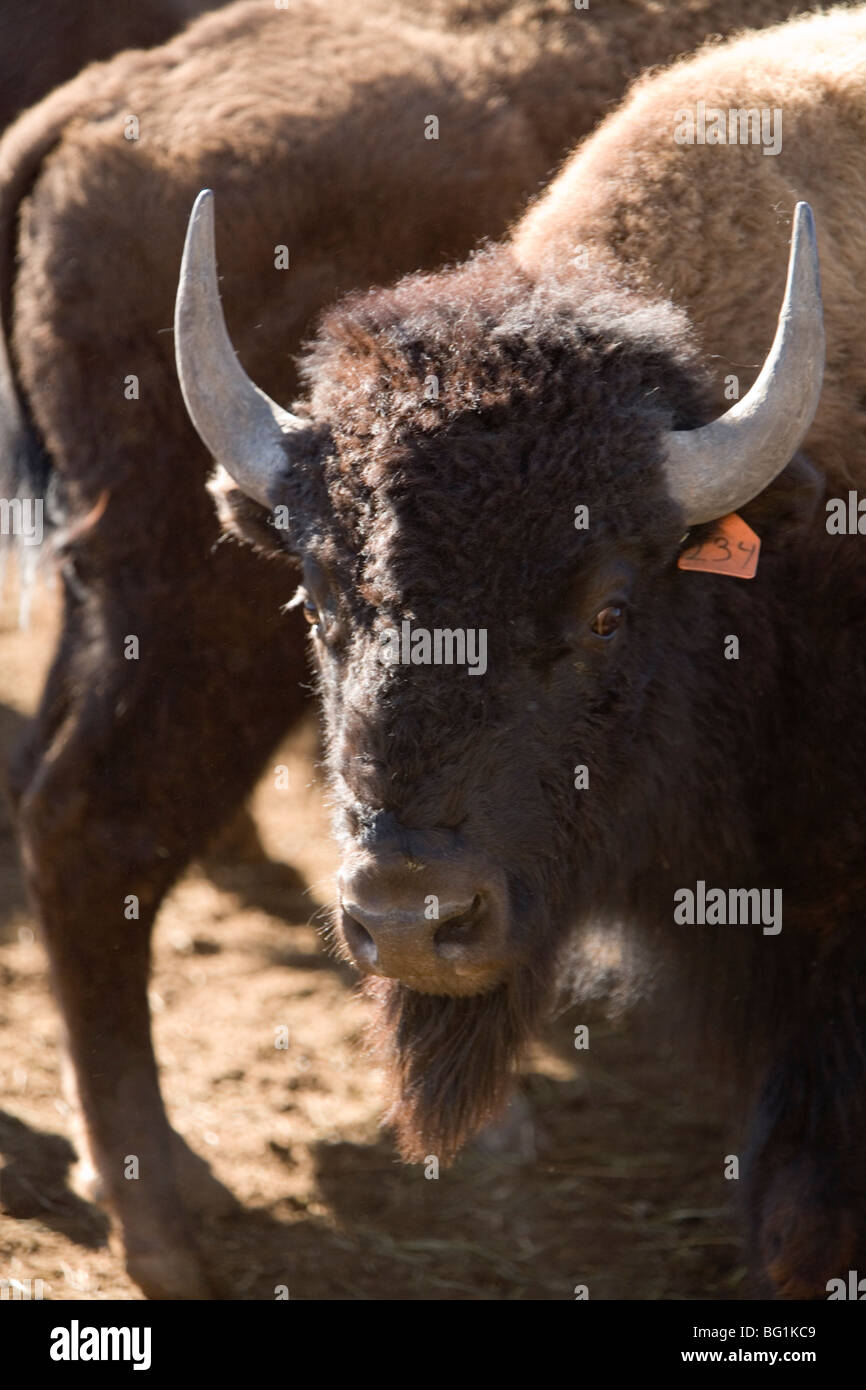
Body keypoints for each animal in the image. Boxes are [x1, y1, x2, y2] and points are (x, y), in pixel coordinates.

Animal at [0, 2, 839, 1301]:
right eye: (316, 599)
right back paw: (167, 1227)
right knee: (89, 830)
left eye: (608, 609)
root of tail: (94, 111)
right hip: (178, 625)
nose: (408, 917)